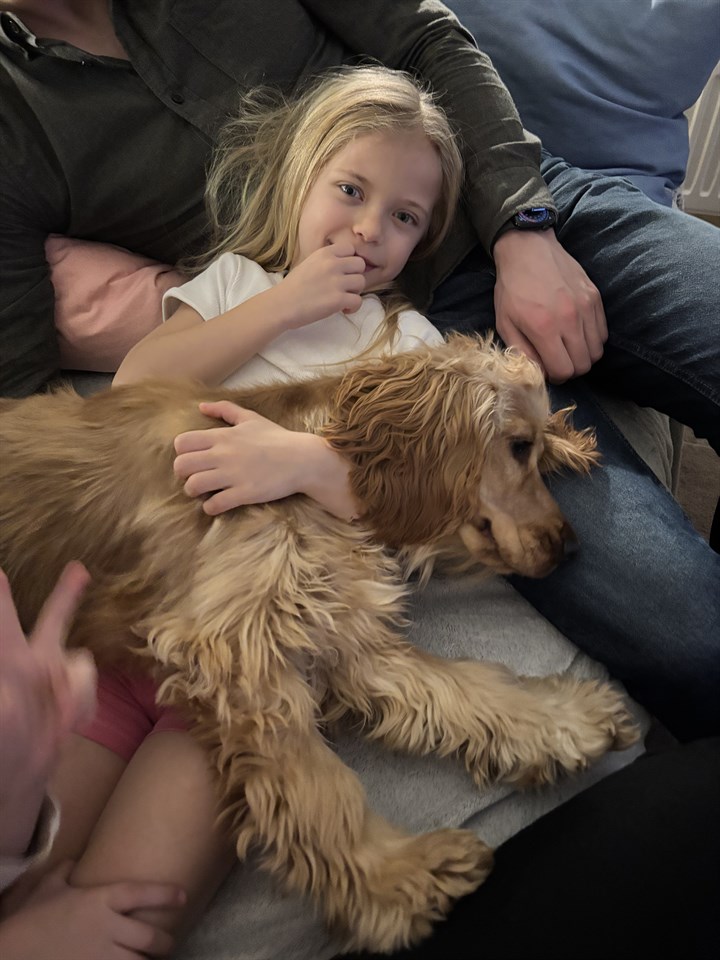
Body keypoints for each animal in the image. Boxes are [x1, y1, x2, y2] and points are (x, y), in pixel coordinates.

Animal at [0, 334, 639, 952]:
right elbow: (319, 791)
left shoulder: (344, 634)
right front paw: (400, 878)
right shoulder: (239, 650)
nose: (572, 549)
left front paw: (567, 720)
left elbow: (468, 688)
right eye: (520, 446)